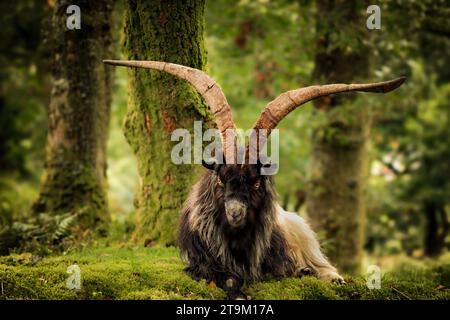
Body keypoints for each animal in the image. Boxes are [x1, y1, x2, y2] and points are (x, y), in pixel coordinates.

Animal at [103, 58, 406, 298]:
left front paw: (304, 273)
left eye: (256, 181)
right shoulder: (200, 262)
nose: (235, 212)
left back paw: (331, 277)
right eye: (221, 179)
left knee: (325, 266)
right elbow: (225, 278)